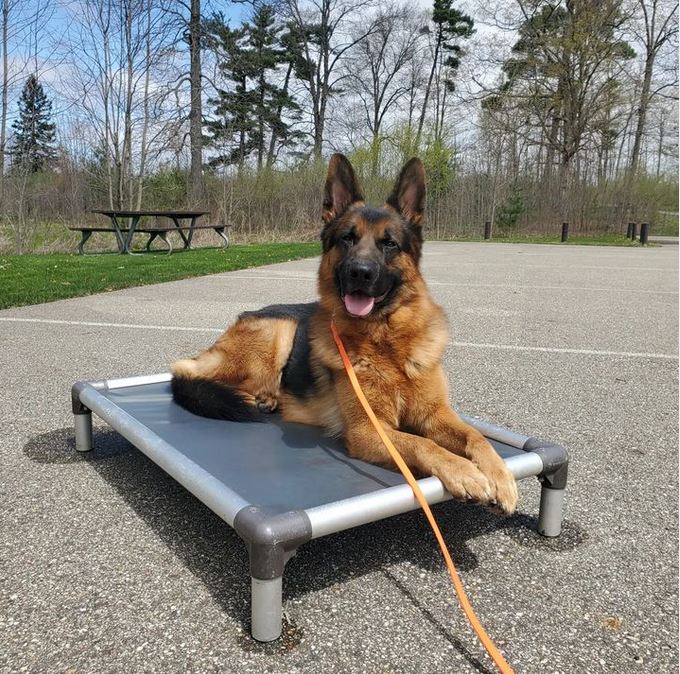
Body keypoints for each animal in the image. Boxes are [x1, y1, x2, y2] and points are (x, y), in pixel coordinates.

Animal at [170, 155, 516, 512]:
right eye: (347, 238)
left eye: (389, 243)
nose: (359, 273)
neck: (385, 341)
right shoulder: (369, 431)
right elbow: (423, 444)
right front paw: (465, 472)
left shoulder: (435, 415)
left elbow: (475, 436)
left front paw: (500, 477)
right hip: (278, 333)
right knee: (192, 374)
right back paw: (252, 398)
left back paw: (268, 399)